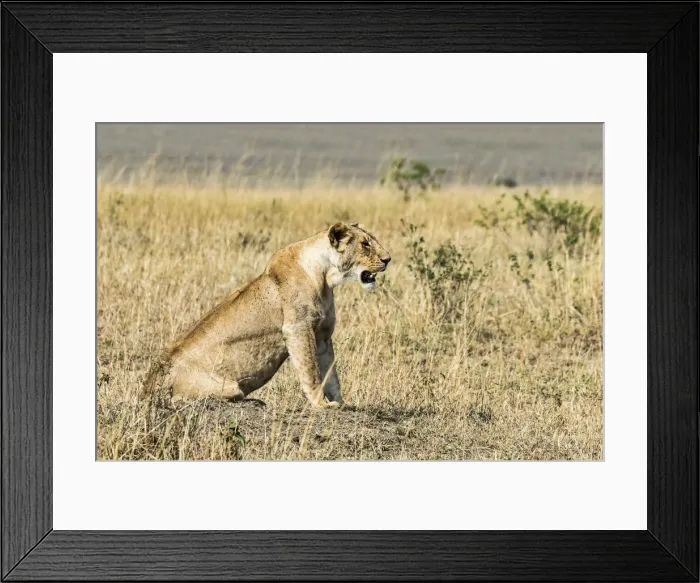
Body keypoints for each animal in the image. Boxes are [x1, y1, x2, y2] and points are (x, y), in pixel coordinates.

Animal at [142, 221, 391, 409]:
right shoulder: (298, 328)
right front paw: (321, 404)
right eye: (365, 244)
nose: (388, 259)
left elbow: (331, 374)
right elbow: (311, 371)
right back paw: (255, 402)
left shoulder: (322, 335)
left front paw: (341, 403)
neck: (325, 276)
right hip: (227, 388)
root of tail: (151, 382)